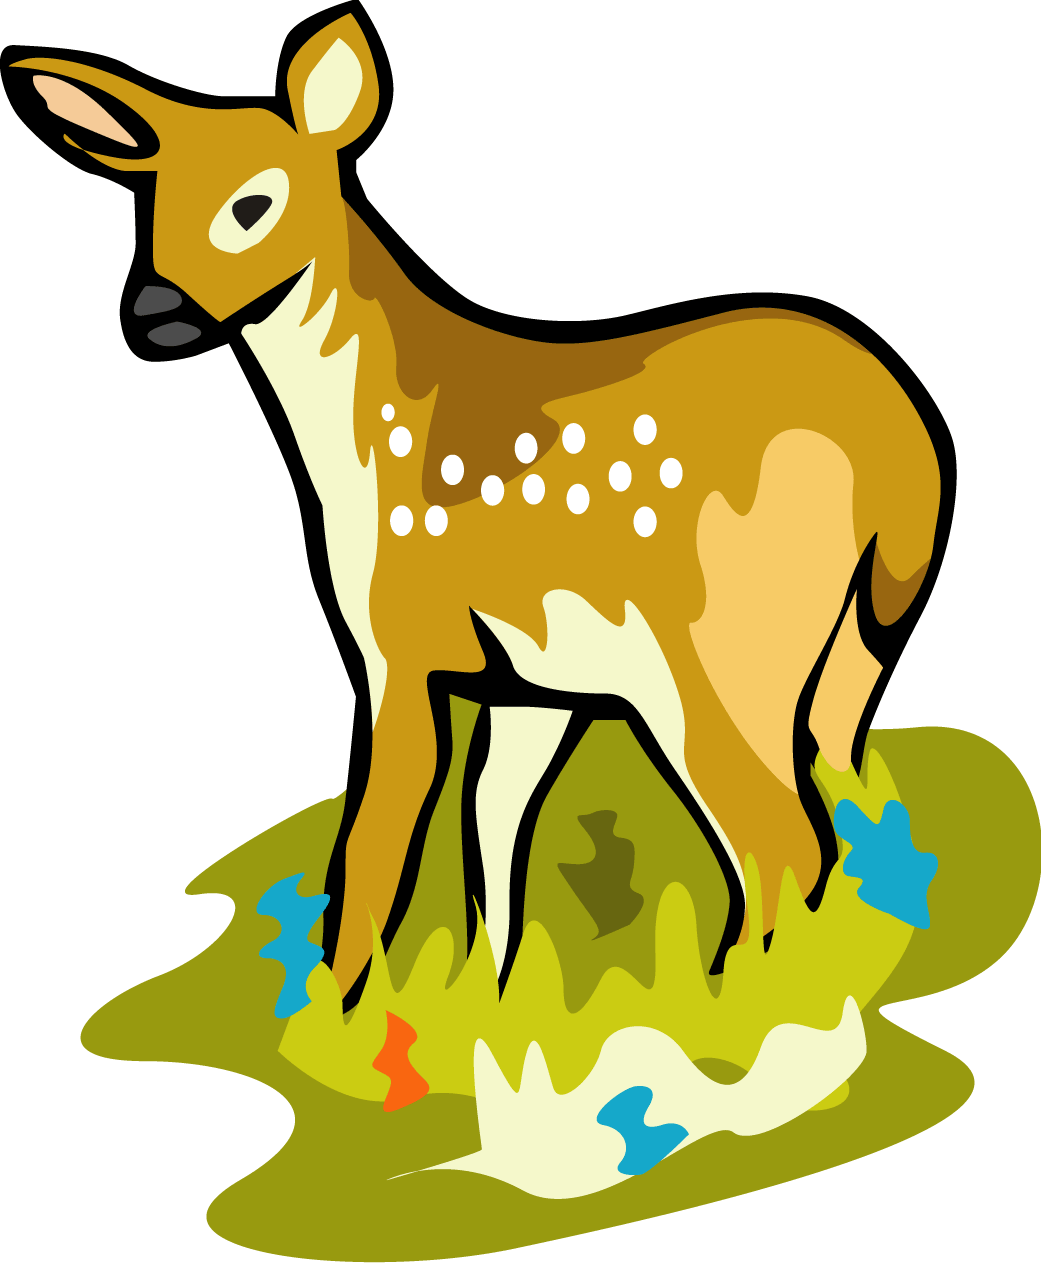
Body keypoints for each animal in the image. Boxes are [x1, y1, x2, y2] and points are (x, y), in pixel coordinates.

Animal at [3, 3, 955, 1011]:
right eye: (142, 203)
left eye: (252, 203)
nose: (150, 313)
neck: (365, 445)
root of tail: (912, 442)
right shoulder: (530, 683)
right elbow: (492, 853)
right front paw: (494, 1007)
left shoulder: (401, 647)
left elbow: (375, 846)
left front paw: (346, 1008)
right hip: (849, 635)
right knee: (840, 790)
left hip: (726, 640)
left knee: (783, 837)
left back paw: (736, 1011)